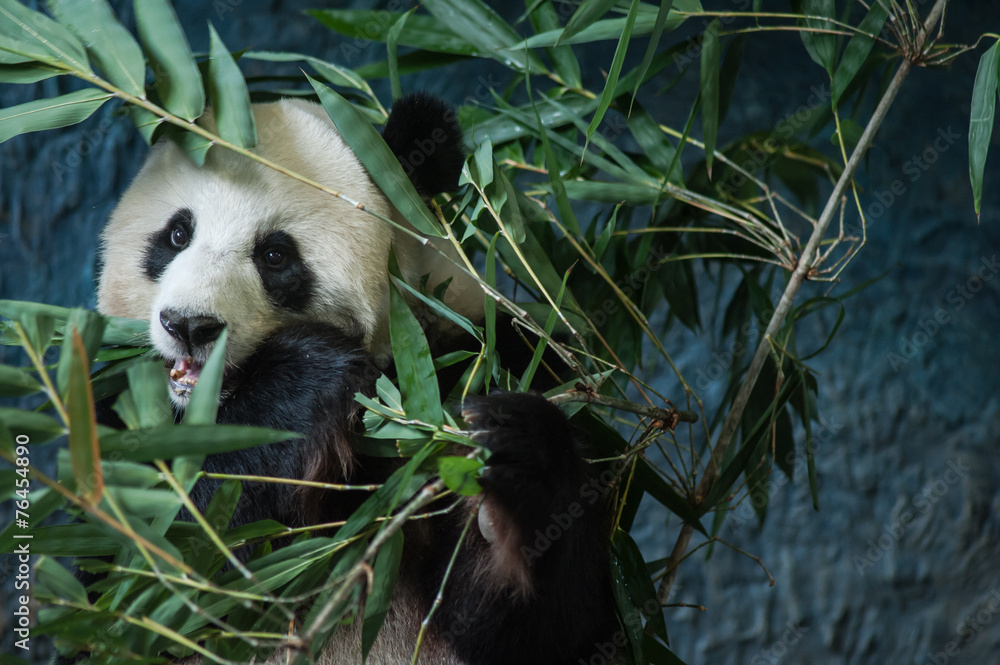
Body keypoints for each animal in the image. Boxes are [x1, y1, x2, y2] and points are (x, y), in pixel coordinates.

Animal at [89, 93, 619, 665]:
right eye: (177, 234)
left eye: (275, 254)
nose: (189, 325)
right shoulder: (112, 413)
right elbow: (135, 574)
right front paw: (305, 376)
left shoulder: (491, 358)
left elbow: (555, 628)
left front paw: (513, 468)